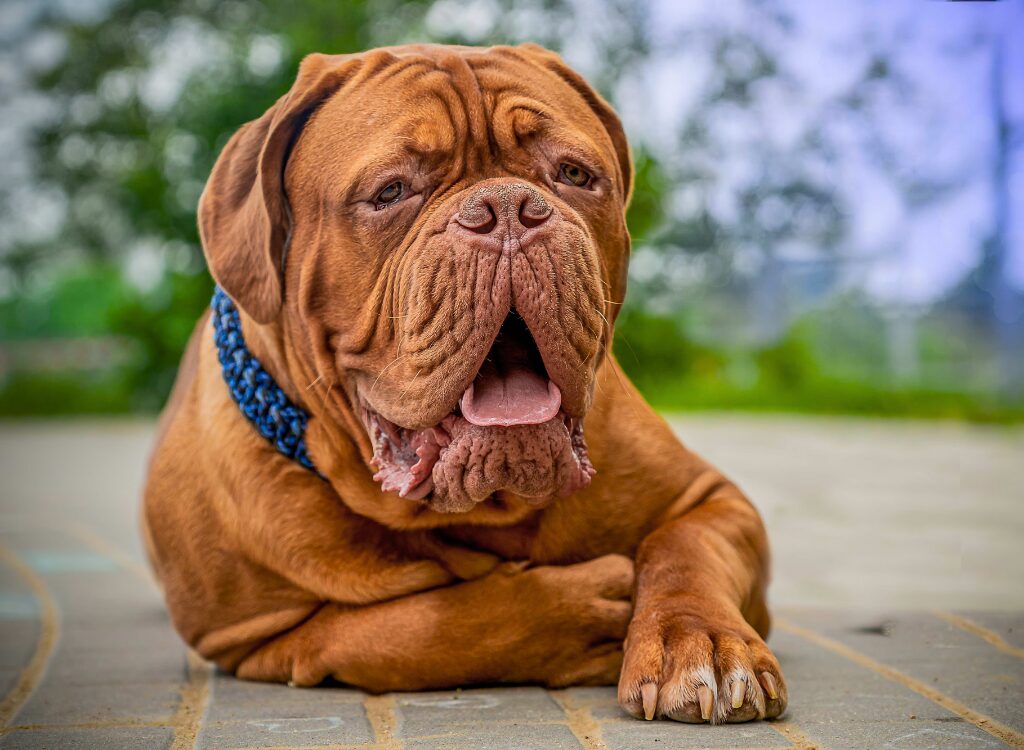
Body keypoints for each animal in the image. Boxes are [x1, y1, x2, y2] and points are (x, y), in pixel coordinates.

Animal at [142, 44, 782, 725]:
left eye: (574, 174)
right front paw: (583, 614)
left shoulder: (711, 499)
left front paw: (702, 643)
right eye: (391, 190)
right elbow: (418, 627)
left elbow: (688, 550)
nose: (509, 209)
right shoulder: (254, 635)